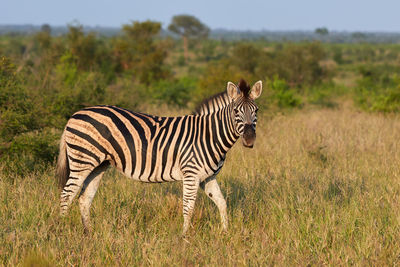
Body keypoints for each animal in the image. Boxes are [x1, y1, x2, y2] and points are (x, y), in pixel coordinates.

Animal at [56, 78, 262, 236]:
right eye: (236, 111)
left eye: (256, 110)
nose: (250, 139)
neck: (208, 135)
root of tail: (74, 115)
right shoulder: (191, 174)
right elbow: (188, 207)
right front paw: (184, 237)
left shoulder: (208, 177)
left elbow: (222, 203)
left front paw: (225, 233)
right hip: (82, 160)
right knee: (67, 195)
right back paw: (62, 230)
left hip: (98, 164)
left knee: (84, 198)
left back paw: (88, 233)